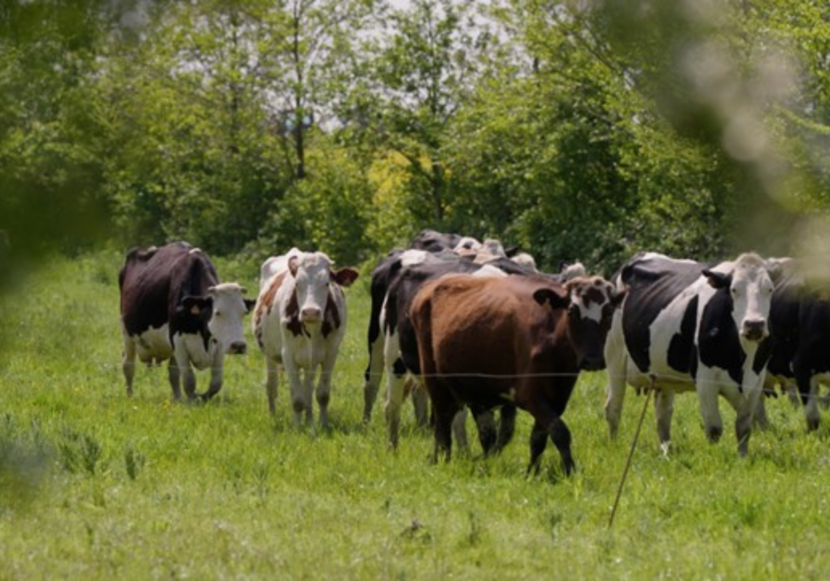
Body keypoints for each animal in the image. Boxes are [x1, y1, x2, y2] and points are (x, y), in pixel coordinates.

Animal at [117, 240, 254, 398]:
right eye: (217, 312)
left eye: (244, 312)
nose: (238, 346)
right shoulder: (177, 341)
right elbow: (189, 380)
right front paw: (192, 400)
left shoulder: (219, 344)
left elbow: (216, 382)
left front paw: (201, 397)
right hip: (127, 332)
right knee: (128, 364)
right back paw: (130, 395)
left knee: (173, 372)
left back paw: (177, 398)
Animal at [252, 246, 360, 426]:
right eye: (297, 283)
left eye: (326, 283)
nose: (310, 312)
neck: (312, 330)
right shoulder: (288, 355)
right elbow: (296, 399)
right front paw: (297, 427)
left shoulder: (331, 353)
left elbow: (322, 394)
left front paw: (322, 424)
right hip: (269, 354)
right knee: (271, 385)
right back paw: (273, 415)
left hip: (310, 361)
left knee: (307, 389)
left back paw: (309, 420)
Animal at [412, 274, 628, 474]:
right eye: (572, 311)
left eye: (609, 312)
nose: (593, 360)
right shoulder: (529, 396)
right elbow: (560, 431)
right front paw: (570, 470)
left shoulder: (558, 398)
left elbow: (539, 438)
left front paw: (532, 472)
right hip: (435, 383)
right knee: (442, 424)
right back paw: (441, 460)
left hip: (475, 389)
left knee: (484, 432)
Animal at [600, 251, 776, 456]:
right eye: (734, 290)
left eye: (770, 290)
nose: (754, 324)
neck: (742, 362)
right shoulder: (705, 378)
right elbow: (714, 428)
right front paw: (713, 457)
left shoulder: (756, 380)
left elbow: (744, 427)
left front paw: (742, 457)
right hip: (614, 355)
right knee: (613, 406)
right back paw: (614, 445)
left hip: (662, 374)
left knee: (662, 415)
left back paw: (666, 453)